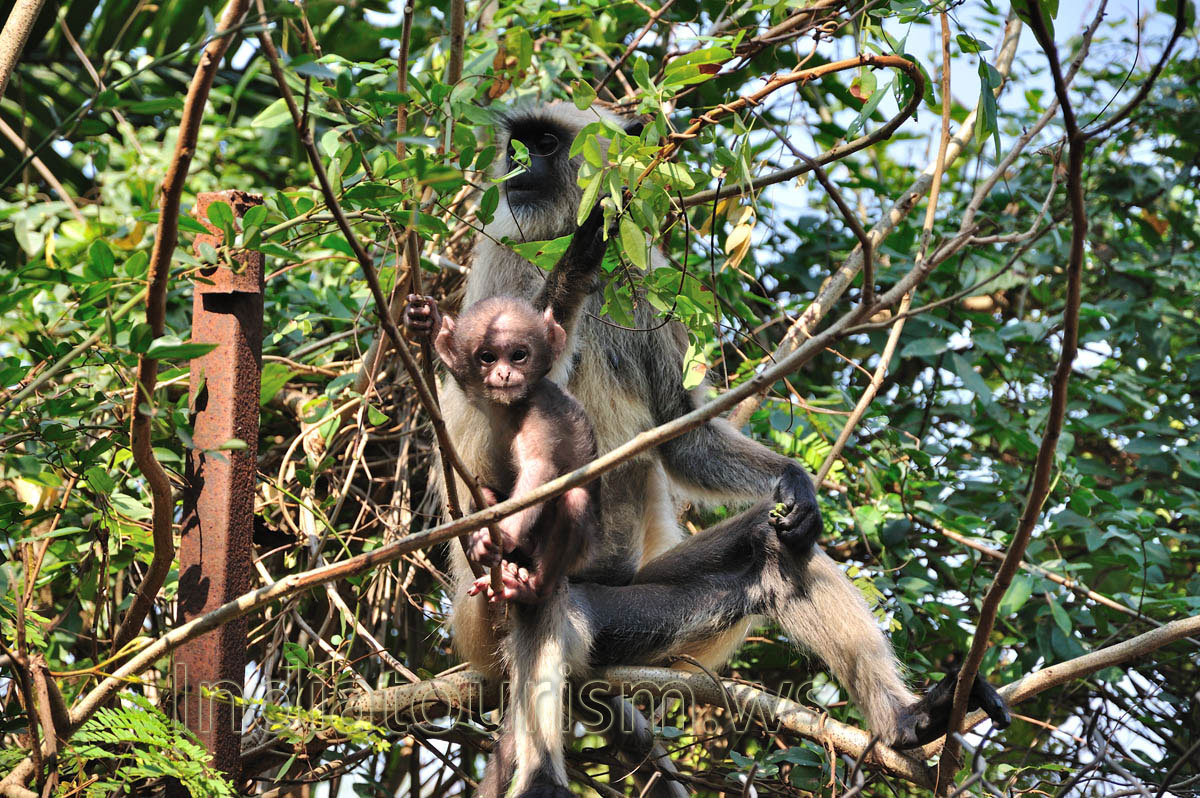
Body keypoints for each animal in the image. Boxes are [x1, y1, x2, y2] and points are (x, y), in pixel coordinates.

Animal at [433, 102, 1010, 798]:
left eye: (543, 144)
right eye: (517, 144)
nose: (517, 165)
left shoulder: (644, 275)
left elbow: (684, 433)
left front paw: (794, 481)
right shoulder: (505, 248)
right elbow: (474, 429)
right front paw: (578, 258)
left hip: (631, 615)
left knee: (777, 548)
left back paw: (908, 721)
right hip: (484, 618)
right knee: (536, 591)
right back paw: (543, 773)